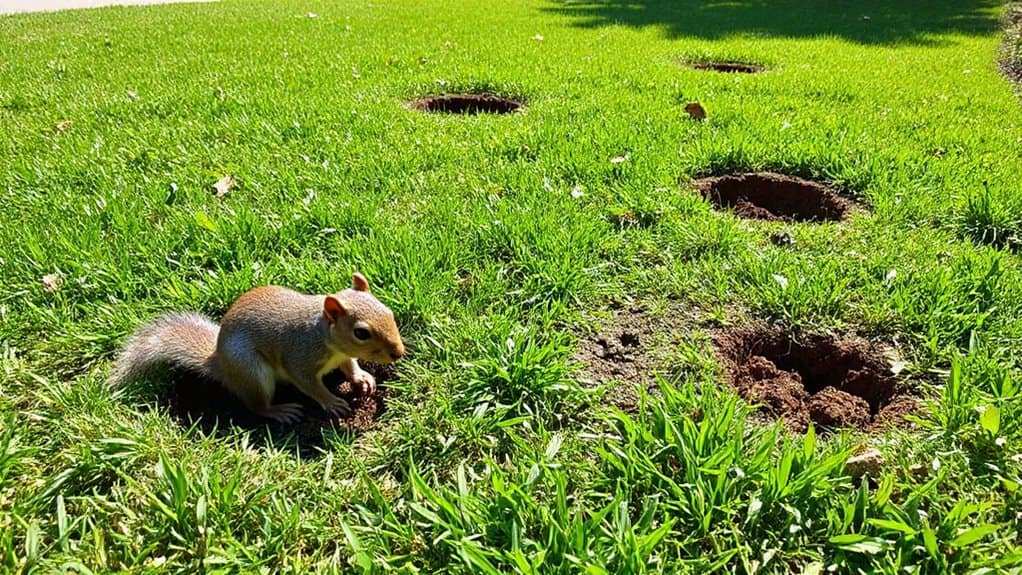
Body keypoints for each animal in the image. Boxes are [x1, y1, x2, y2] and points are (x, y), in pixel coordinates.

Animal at [109, 273, 405, 423]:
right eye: (361, 333)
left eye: (388, 311)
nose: (398, 352)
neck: (324, 335)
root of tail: (219, 363)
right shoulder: (300, 358)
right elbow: (310, 385)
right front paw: (332, 401)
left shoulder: (342, 355)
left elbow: (350, 365)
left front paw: (361, 378)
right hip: (253, 372)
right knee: (255, 406)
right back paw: (279, 411)